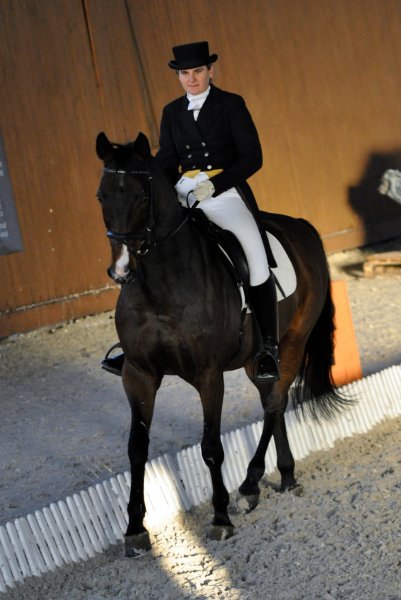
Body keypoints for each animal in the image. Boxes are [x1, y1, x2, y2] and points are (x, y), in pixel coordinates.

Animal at [95, 131, 347, 557]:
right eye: (101, 196)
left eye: (142, 197)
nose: (121, 271)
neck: (161, 285)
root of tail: (301, 227)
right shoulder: (138, 374)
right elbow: (137, 447)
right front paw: (133, 529)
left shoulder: (208, 375)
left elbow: (211, 446)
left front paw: (220, 519)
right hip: (257, 359)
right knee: (273, 401)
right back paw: (284, 475)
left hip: (293, 341)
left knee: (275, 403)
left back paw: (249, 483)